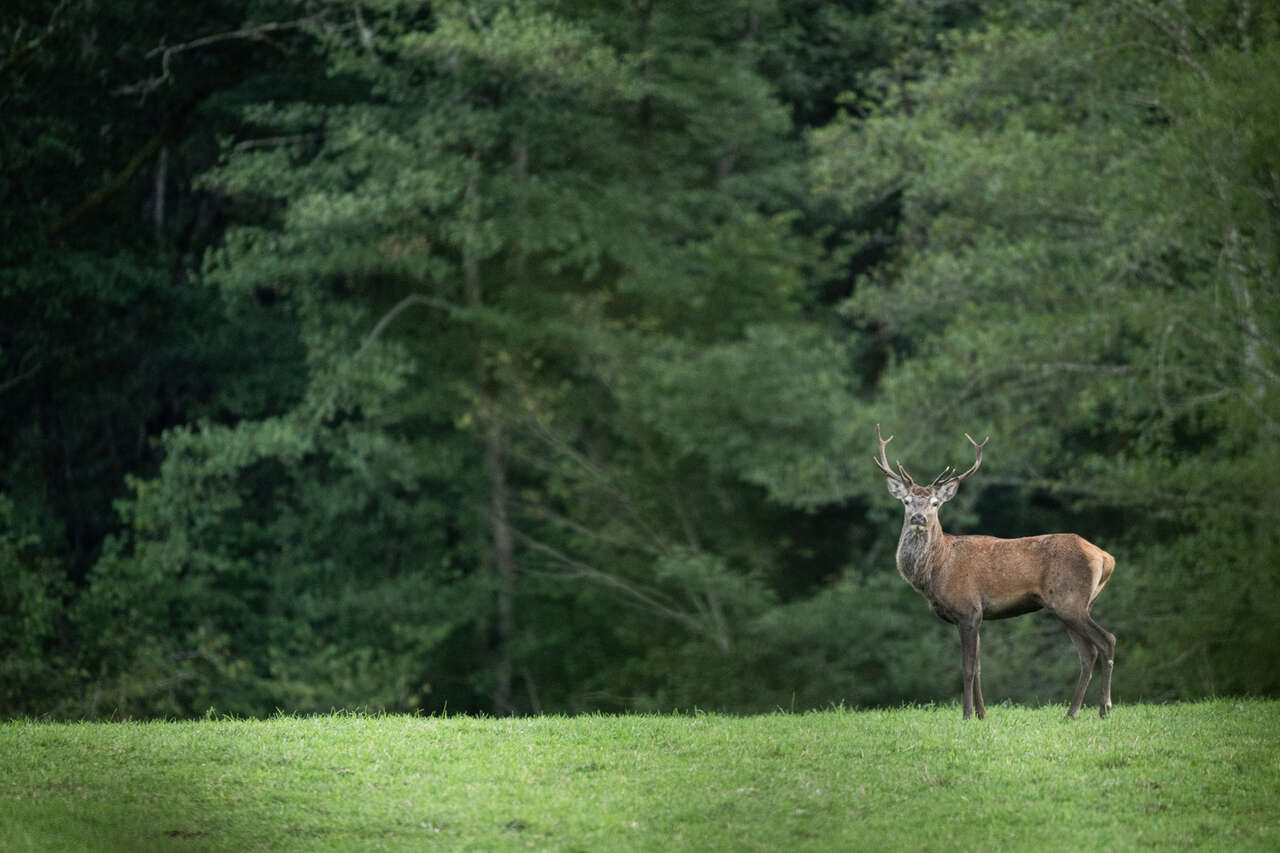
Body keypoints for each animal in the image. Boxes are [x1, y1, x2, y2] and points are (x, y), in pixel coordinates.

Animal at [873, 425, 1115, 720]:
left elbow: (967, 668)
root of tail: (1105, 557)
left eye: (934, 503)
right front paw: (982, 714)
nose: (918, 518)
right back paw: (1072, 712)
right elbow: (978, 668)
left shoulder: (967, 609)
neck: (937, 570)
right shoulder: (978, 615)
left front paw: (966, 714)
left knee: (1106, 641)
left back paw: (1105, 708)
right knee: (1087, 653)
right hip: (1074, 606)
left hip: (1070, 601)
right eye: (907, 502)